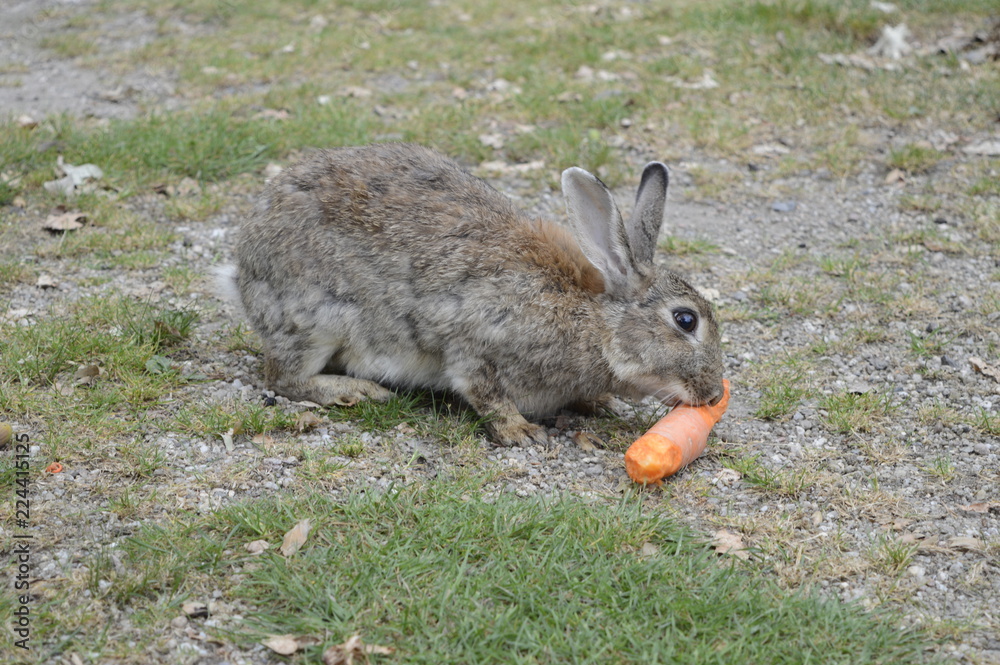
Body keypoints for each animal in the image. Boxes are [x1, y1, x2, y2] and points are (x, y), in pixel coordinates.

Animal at [224, 143, 724, 447]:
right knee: (283, 378)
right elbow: (484, 391)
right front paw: (522, 432)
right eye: (685, 320)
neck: (593, 322)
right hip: (316, 318)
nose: (715, 395)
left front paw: (601, 403)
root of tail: (243, 266)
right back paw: (356, 391)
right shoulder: (476, 342)